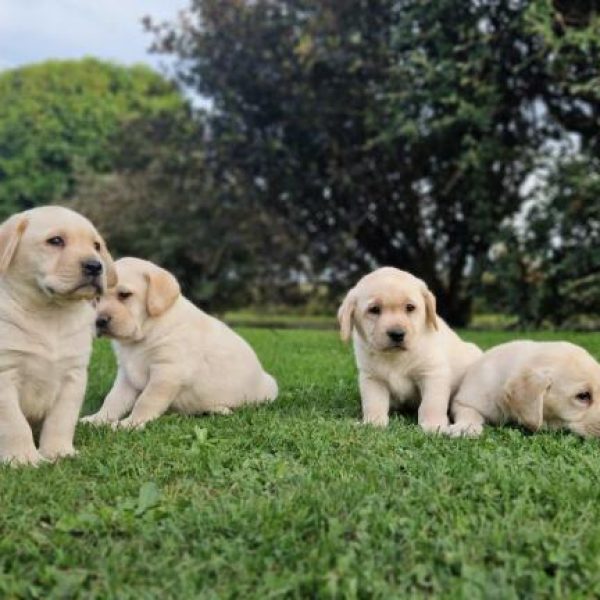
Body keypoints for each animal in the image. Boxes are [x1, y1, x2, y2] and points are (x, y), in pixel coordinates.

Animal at [0, 205, 115, 464]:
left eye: (96, 245)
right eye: (55, 241)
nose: (95, 266)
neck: (50, 313)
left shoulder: (74, 376)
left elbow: (61, 420)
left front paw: (59, 452)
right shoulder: (4, 375)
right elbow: (15, 424)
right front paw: (23, 459)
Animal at [80, 255, 278, 428]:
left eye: (124, 295)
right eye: (96, 298)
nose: (99, 321)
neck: (147, 331)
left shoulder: (167, 372)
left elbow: (146, 400)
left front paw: (131, 424)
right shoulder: (127, 375)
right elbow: (113, 400)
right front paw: (97, 419)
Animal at [338, 268, 482, 432]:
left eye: (410, 307)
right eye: (374, 309)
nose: (397, 334)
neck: (395, 357)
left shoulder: (433, 374)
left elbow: (431, 404)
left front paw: (433, 425)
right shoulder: (372, 378)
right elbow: (374, 403)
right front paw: (372, 423)